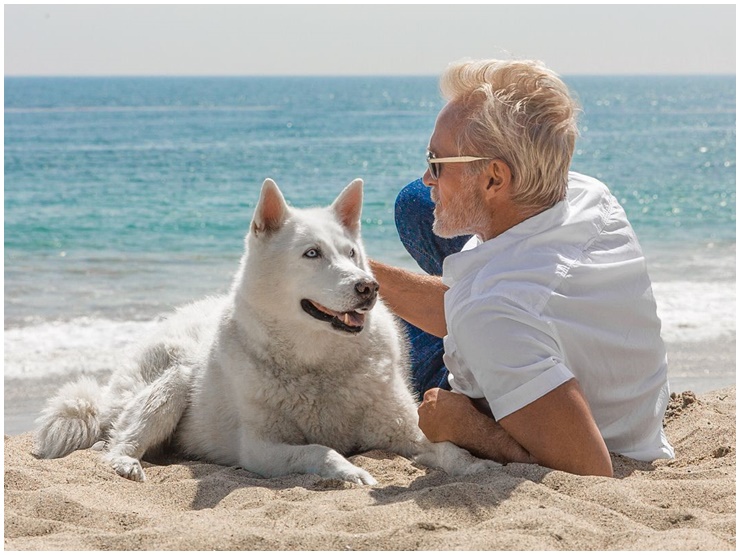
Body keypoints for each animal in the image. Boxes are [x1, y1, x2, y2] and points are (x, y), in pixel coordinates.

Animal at [33, 180, 498, 484]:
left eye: (351, 253)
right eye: (312, 254)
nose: (369, 287)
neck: (318, 364)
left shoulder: (400, 429)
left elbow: (449, 449)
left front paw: (478, 467)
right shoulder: (260, 449)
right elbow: (320, 450)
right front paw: (351, 471)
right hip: (173, 383)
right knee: (118, 439)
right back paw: (126, 463)